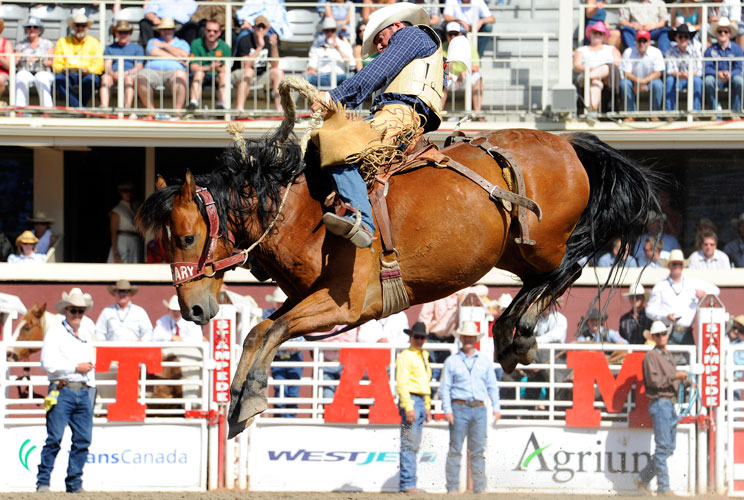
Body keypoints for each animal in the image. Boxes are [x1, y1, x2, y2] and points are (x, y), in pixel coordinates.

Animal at [137, 128, 660, 438]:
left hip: (543, 244)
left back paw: (519, 333)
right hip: (513, 250)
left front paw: (249, 398)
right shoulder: (306, 297)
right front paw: (239, 401)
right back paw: (512, 336)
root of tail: (567, 143)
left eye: (187, 237)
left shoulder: (347, 304)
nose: (193, 310)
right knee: (542, 280)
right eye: (160, 242)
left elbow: (269, 329)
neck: (306, 212)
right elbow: (258, 331)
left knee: (567, 268)